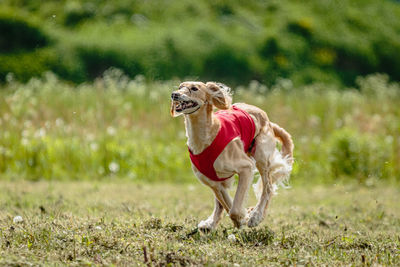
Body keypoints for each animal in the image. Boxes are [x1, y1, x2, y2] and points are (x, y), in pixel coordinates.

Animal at [170, 81, 294, 230]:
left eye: (194, 88)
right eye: (179, 87)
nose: (174, 94)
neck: (205, 138)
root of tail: (266, 118)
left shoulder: (246, 168)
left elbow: (234, 209)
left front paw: (247, 217)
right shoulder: (214, 182)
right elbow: (228, 206)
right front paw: (242, 217)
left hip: (261, 156)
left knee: (268, 187)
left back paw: (256, 216)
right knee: (220, 204)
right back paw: (211, 223)